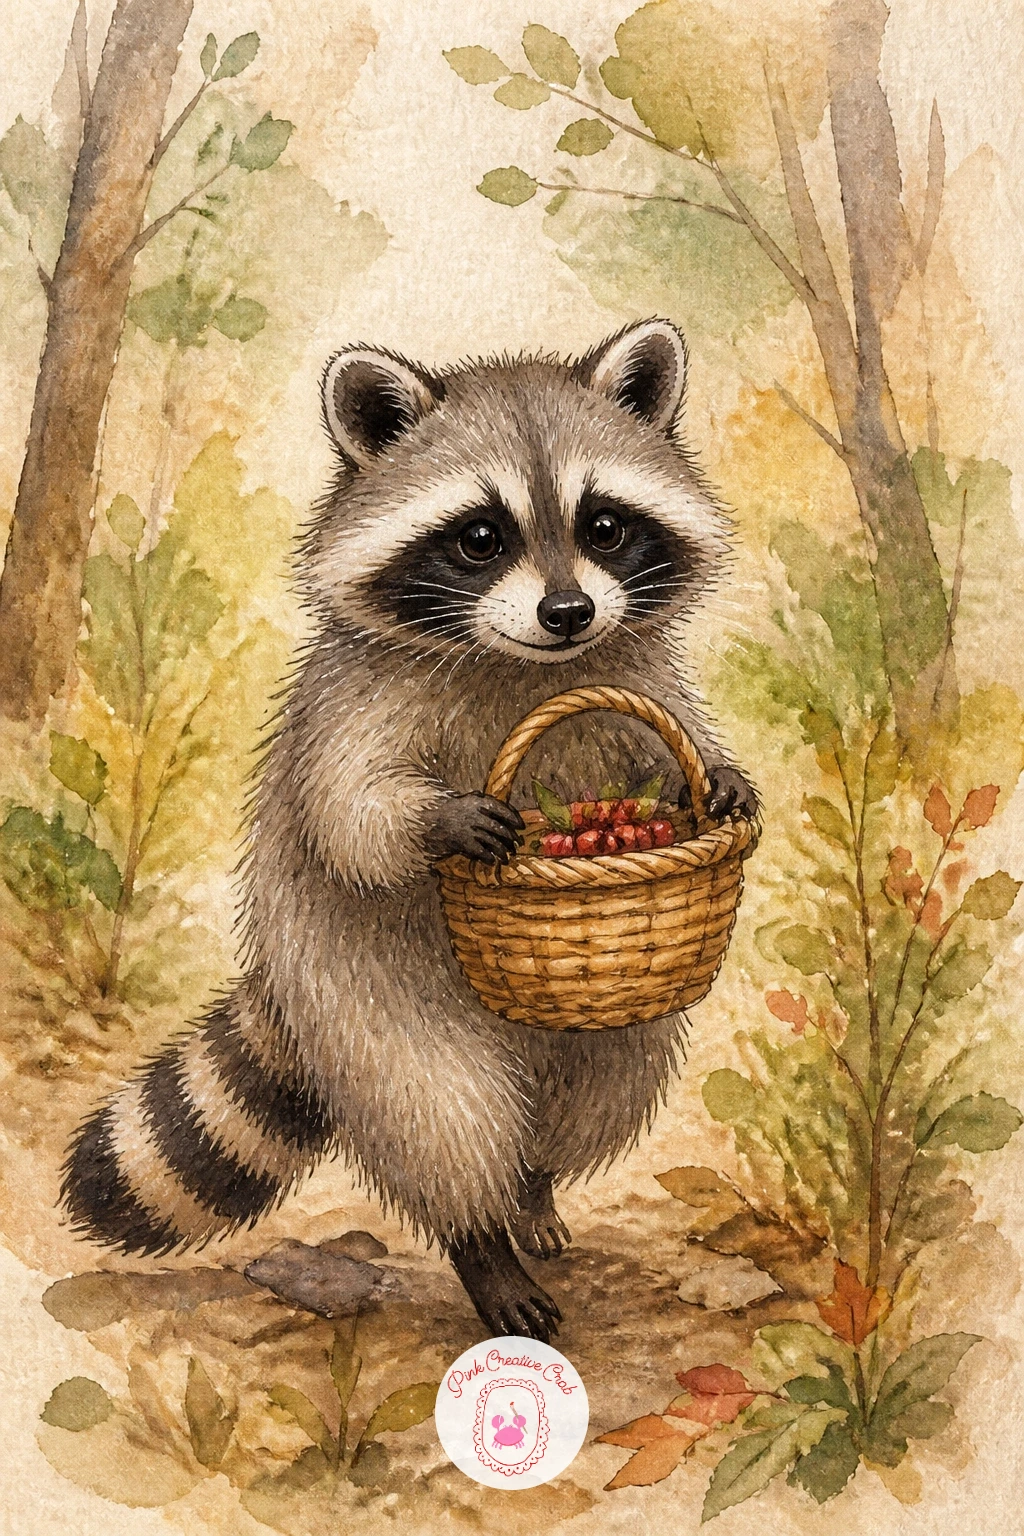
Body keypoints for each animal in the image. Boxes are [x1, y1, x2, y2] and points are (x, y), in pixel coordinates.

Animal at [63, 319, 756, 1342]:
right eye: (479, 538)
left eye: (604, 526)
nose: (568, 612)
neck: (520, 663)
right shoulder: (354, 701)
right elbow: (351, 814)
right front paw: (439, 818)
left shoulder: (637, 672)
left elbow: (666, 751)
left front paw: (715, 776)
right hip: (356, 991)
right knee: (442, 1114)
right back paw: (481, 1241)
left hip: (601, 1029)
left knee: (599, 1089)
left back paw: (533, 1190)